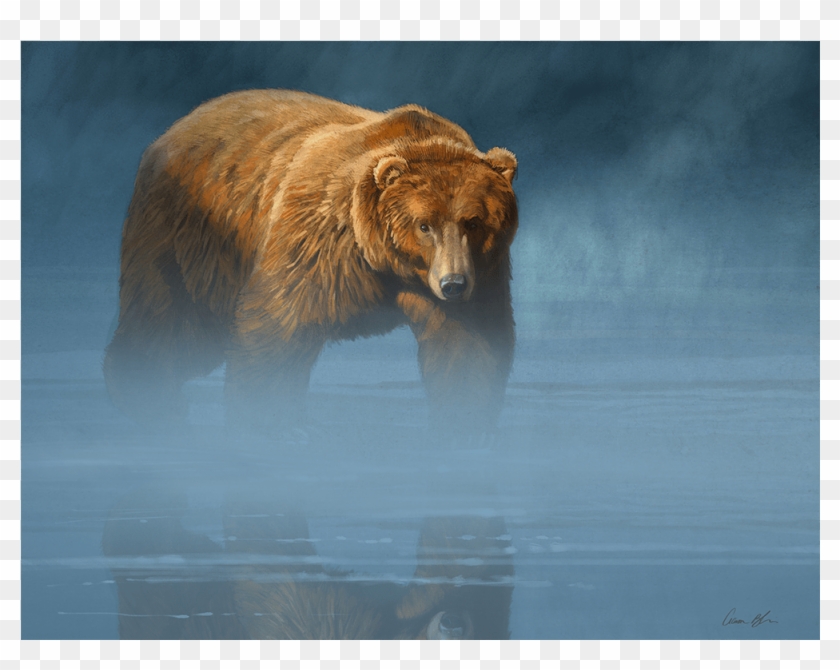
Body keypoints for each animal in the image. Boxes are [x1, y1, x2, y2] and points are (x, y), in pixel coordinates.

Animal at [103, 90, 518, 434]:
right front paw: (267, 423)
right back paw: (150, 398)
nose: (453, 284)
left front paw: (462, 423)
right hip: (191, 236)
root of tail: (169, 132)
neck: (386, 263)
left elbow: (469, 344)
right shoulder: (322, 238)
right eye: (424, 224)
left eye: (473, 221)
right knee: (172, 319)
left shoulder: (482, 271)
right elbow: (279, 323)